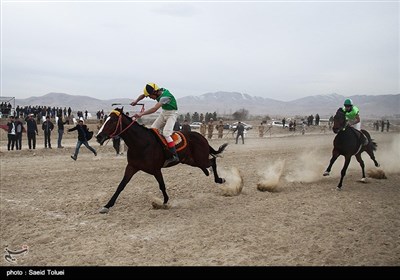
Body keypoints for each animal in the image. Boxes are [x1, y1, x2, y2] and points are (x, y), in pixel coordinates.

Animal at [96, 108, 228, 213]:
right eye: (105, 119)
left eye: (112, 121)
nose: (98, 136)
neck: (141, 143)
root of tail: (202, 137)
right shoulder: (132, 167)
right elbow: (121, 185)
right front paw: (107, 205)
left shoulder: (156, 169)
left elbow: (162, 185)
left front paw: (165, 202)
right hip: (191, 161)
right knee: (208, 165)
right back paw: (208, 172)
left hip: (200, 159)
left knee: (212, 161)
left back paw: (219, 179)